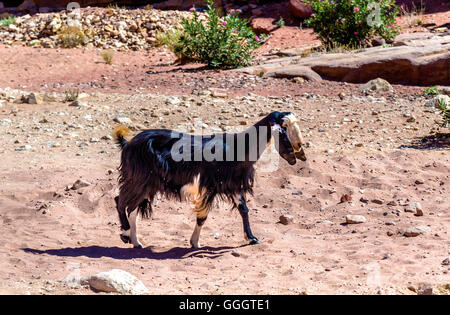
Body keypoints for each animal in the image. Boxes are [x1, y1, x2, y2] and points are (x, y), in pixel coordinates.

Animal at [114, 111, 308, 249]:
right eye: (284, 127)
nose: (300, 151)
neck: (239, 148)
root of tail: (128, 144)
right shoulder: (212, 185)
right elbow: (203, 216)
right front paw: (195, 242)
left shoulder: (233, 184)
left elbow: (243, 210)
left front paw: (252, 238)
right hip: (140, 179)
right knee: (120, 201)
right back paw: (125, 233)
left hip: (146, 183)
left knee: (131, 207)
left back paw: (135, 242)